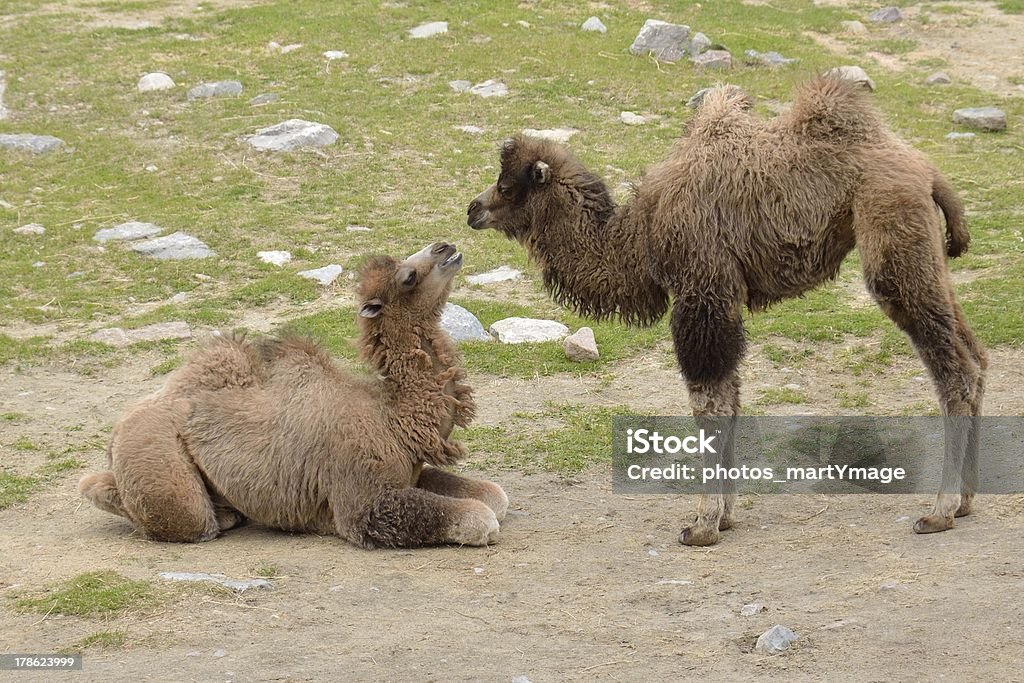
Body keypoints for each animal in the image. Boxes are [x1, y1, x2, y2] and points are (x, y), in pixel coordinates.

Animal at [79, 242, 507, 548]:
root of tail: (119, 428)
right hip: (161, 461)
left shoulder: (410, 471)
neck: (393, 418)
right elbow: (479, 516)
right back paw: (223, 517)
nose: (445, 246)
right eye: (408, 276)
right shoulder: (362, 501)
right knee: (164, 510)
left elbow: (494, 495)